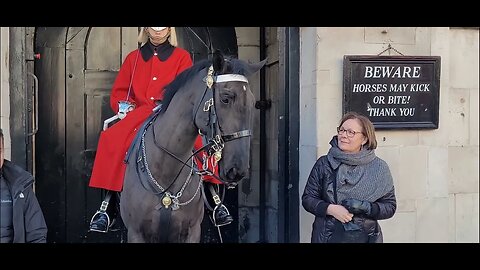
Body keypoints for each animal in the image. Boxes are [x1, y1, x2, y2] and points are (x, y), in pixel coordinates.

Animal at [118, 52, 264, 243]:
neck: (167, 170)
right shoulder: (136, 233)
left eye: (253, 102)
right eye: (225, 98)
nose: (237, 169)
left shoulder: (192, 232)